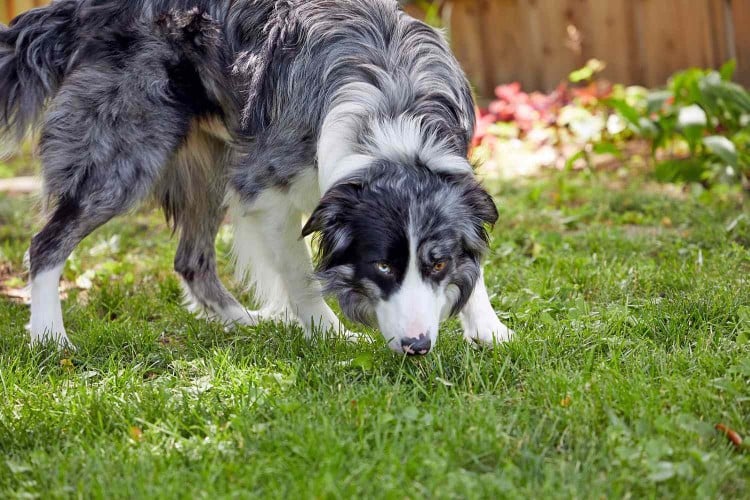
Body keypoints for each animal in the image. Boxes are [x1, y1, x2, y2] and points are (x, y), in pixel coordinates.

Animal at [0, 0, 516, 356]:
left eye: (438, 264)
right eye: (383, 267)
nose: (417, 347)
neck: (395, 123)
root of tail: (84, 8)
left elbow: (473, 257)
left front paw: (489, 329)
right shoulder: (265, 189)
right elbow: (300, 272)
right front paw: (329, 334)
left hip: (212, 163)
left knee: (190, 260)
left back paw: (243, 321)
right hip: (124, 159)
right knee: (46, 244)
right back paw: (49, 337)